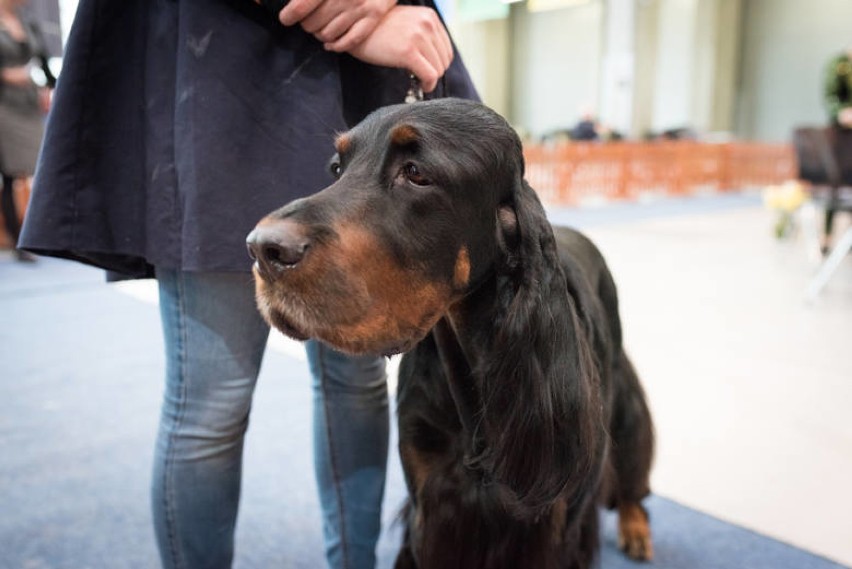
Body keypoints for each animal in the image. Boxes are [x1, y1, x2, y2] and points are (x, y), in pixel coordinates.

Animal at [246, 98, 660, 568]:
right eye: (337, 168)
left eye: (416, 173)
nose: (262, 249)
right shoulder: (433, 501)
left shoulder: (551, 519)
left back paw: (635, 526)